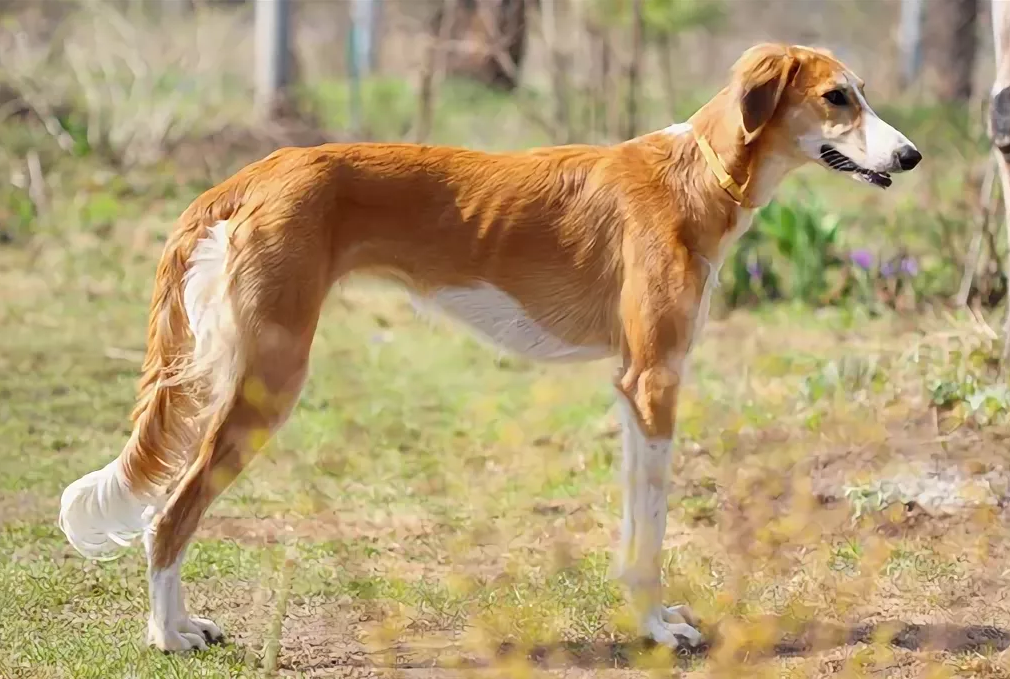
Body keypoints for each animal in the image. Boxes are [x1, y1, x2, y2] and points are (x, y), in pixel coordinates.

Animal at [59, 43, 921, 650]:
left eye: (862, 92)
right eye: (837, 97)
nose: (911, 157)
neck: (693, 176)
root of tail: (251, 174)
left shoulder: (631, 387)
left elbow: (633, 522)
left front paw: (643, 617)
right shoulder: (654, 381)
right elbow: (652, 525)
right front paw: (655, 629)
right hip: (268, 380)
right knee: (171, 513)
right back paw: (169, 633)